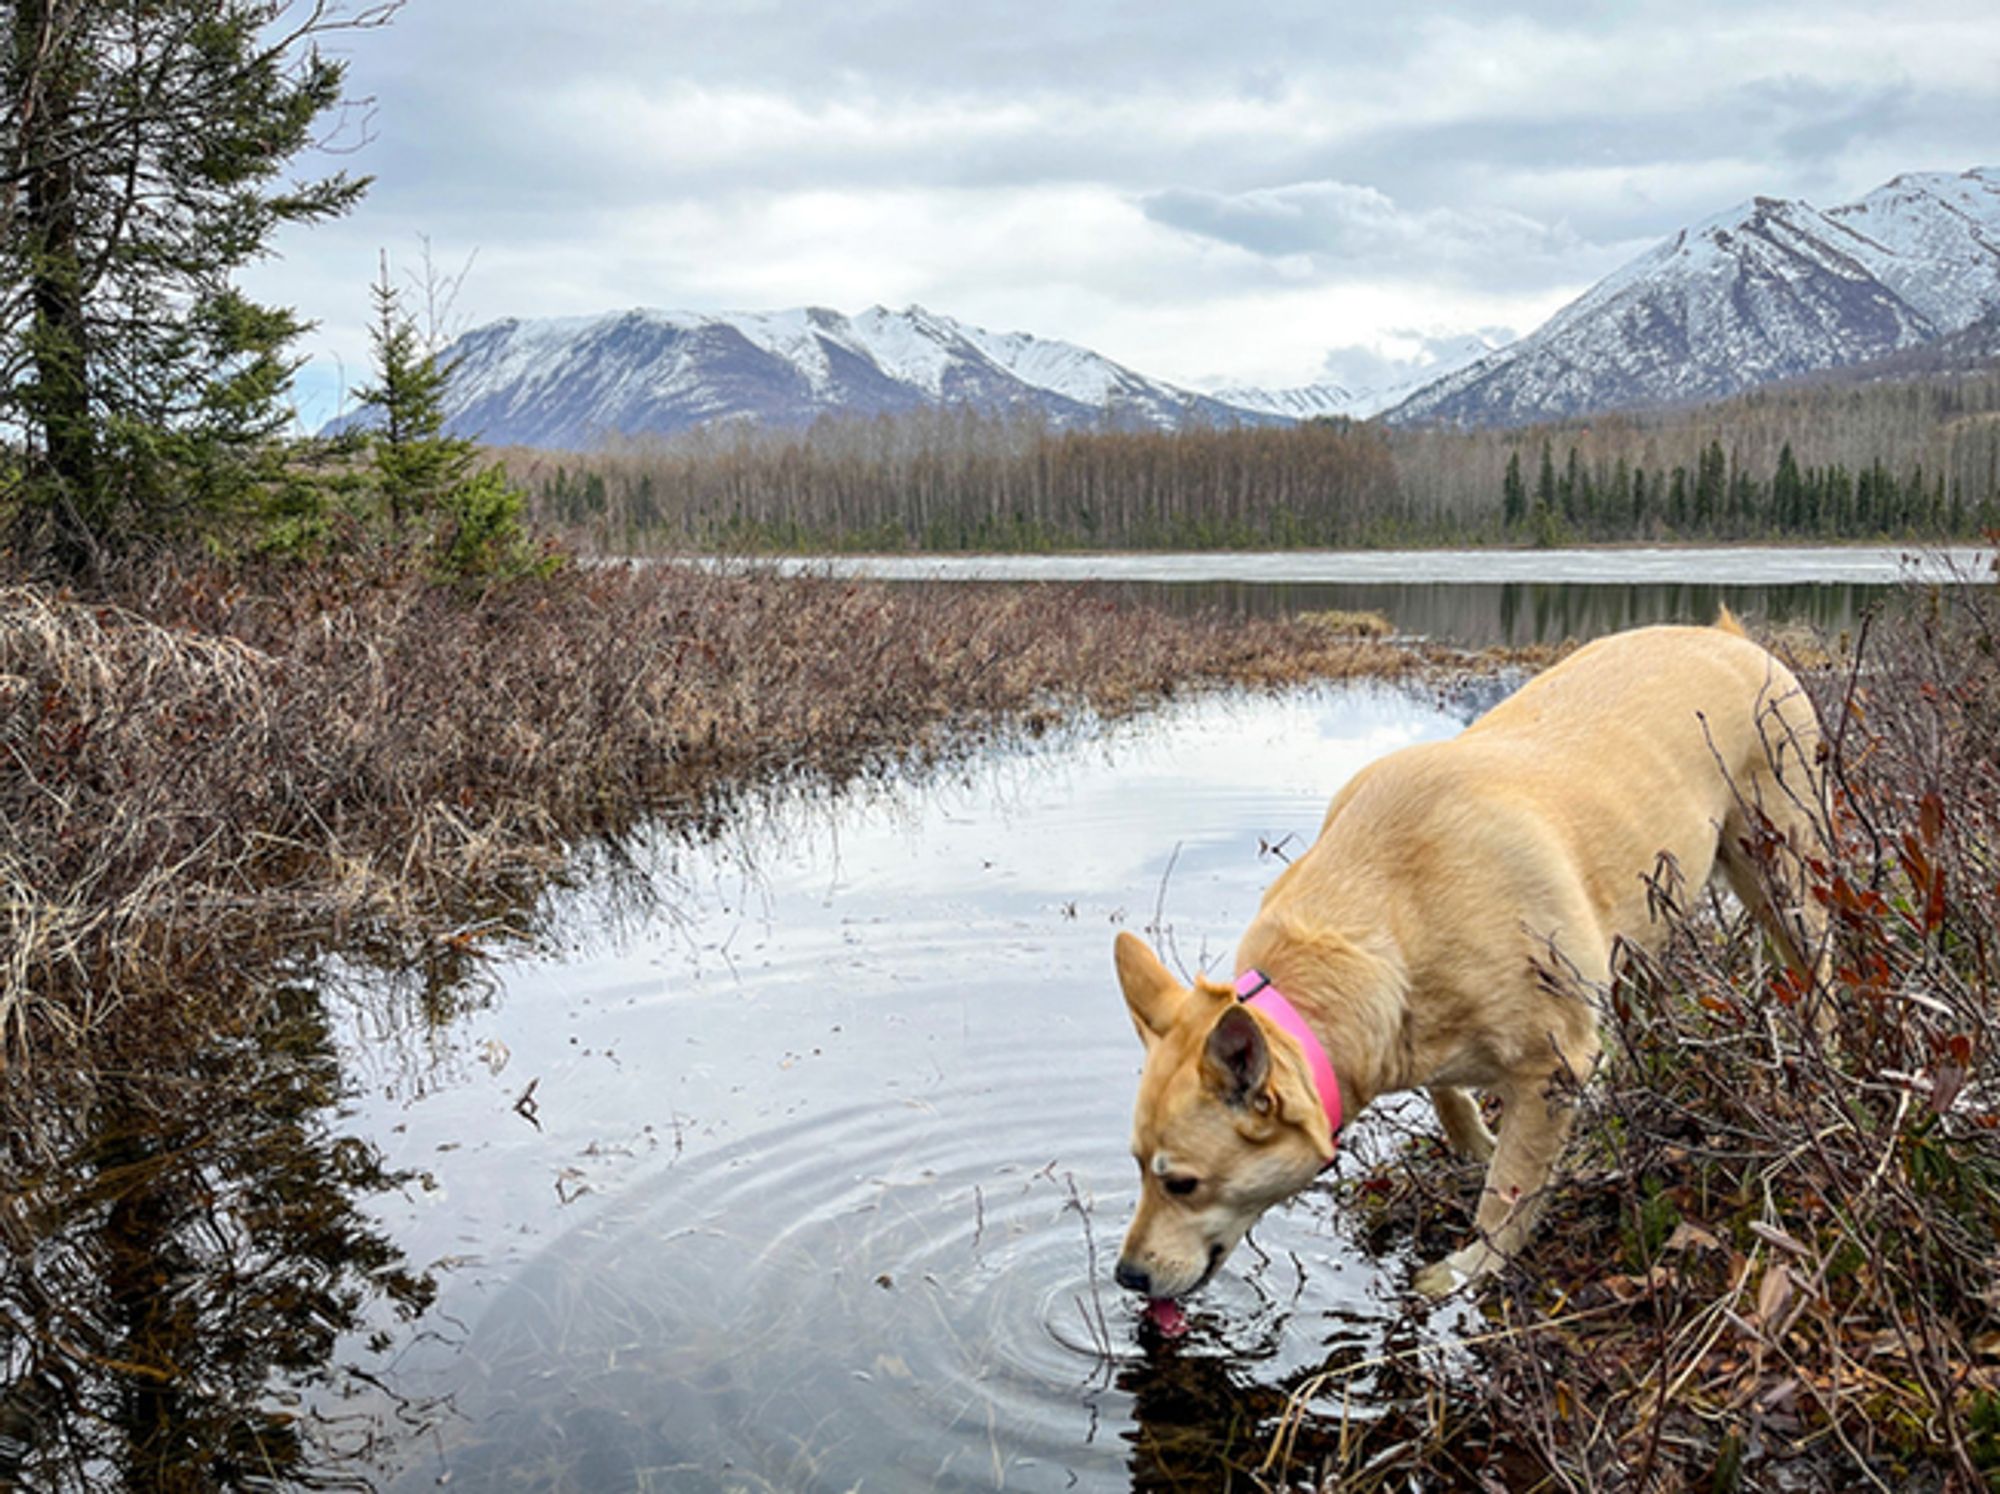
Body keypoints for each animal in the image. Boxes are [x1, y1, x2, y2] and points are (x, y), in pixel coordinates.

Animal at [1112, 612, 1832, 1304]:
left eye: (1181, 1184)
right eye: (1136, 1165)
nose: (1126, 1278)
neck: (1388, 907)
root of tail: (1733, 639)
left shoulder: (1553, 1067)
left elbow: (1507, 1193)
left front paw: (1469, 1269)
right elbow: (1447, 1094)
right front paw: (1474, 1142)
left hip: (1784, 876)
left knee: (1816, 970)